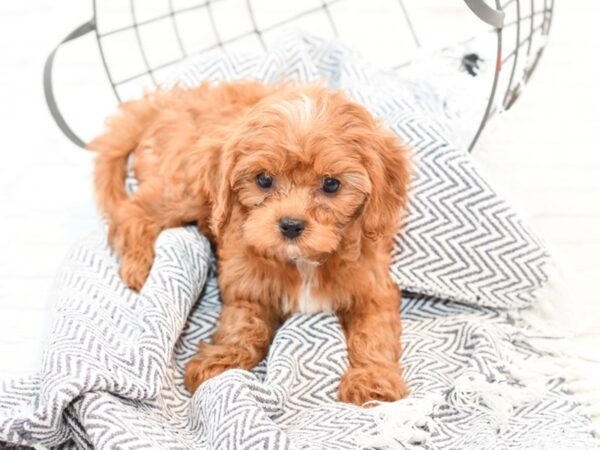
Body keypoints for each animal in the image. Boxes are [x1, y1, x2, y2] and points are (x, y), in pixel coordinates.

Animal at [90, 81, 412, 404]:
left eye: (331, 184)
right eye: (263, 180)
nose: (291, 225)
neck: (302, 261)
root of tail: (168, 102)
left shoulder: (373, 286)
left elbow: (374, 333)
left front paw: (372, 379)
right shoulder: (246, 283)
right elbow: (245, 326)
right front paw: (222, 359)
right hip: (185, 190)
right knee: (132, 211)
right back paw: (139, 264)